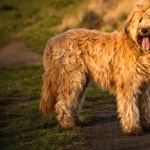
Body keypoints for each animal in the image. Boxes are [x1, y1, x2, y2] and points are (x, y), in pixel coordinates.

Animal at [40, 0, 150, 135]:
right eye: (140, 19)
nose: (144, 30)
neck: (138, 48)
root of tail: (53, 40)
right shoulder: (128, 86)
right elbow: (130, 108)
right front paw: (132, 128)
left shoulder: (143, 87)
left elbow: (144, 106)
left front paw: (146, 124)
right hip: (72, 77)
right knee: (64, 102)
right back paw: (67, 124)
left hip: (82, 80)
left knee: (76, 101)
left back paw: (77, 121)